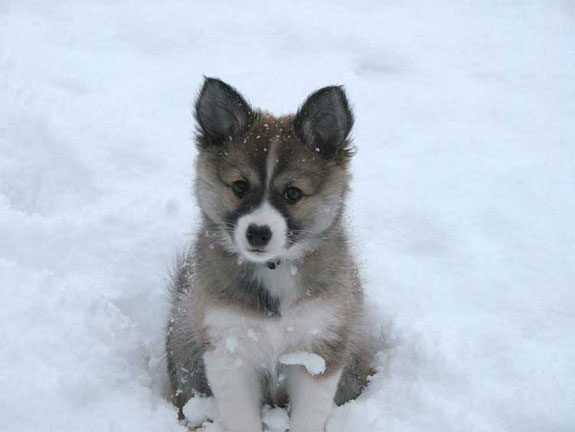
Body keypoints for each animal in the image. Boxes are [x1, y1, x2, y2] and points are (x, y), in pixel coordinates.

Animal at [166, 78, 374, 432]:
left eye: (292, 193)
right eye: (239, 186)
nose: (258, 233)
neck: (274, 270)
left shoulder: (318, 348)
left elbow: (308, 418)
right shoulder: (228, 349)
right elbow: (241, 419)